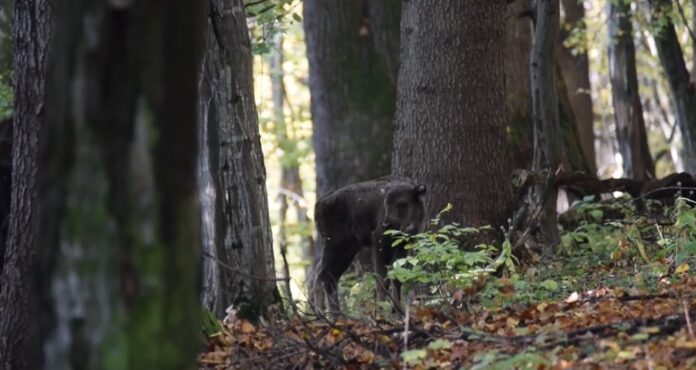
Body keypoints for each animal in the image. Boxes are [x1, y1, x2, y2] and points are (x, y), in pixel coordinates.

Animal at [312, 176, 426, 316]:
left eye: (402, 203)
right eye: (385, 204)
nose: (387, 224)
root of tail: (320, 203)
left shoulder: (402, 246)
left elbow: (396, 279)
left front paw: (399, 310)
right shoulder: (379, 243)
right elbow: (382, 279)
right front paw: (380, 312)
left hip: (348, 250)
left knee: (330, 277)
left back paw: (336, 315)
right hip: (335, 245)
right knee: (321, 275)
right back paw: (321, 314)